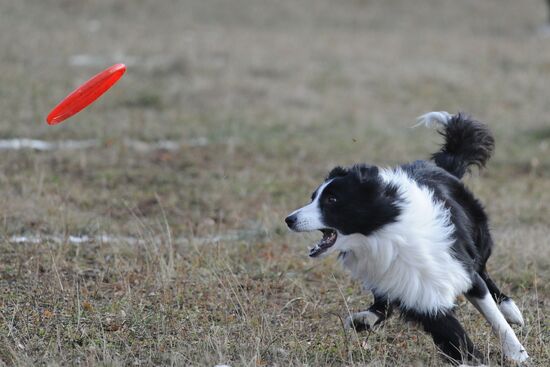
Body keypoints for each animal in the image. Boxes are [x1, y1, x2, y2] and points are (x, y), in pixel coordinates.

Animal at [286, 112, 528, 366]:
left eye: (332, 199)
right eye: (313, 197)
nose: (289, 219)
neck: (383, 234)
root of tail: (441, 167)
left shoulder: (456, 266)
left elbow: (493, 315)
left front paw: (517, 352)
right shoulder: (416, 290)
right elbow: (453, 335)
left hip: (478, 235)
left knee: (484, 270)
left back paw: (511, 309)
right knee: (382, 301)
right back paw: (364, 319)